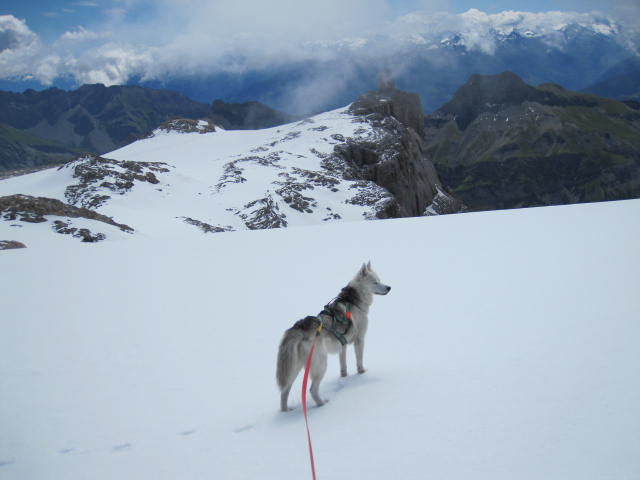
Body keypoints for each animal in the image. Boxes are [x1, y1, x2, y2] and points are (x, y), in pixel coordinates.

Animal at [276, 262, 390, 412]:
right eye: (375, 282)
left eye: (379, 280)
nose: (389, 288)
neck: (353, 301)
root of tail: (299, 328)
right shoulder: (359, 340)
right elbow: (359, 361)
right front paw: (362, 373)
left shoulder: (343, 344)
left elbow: (343, 365)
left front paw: (344, 376)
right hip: (321, 363)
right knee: (312, 390)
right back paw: (322, 404)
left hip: (294, 369)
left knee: (284, 391)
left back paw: (286, 411)